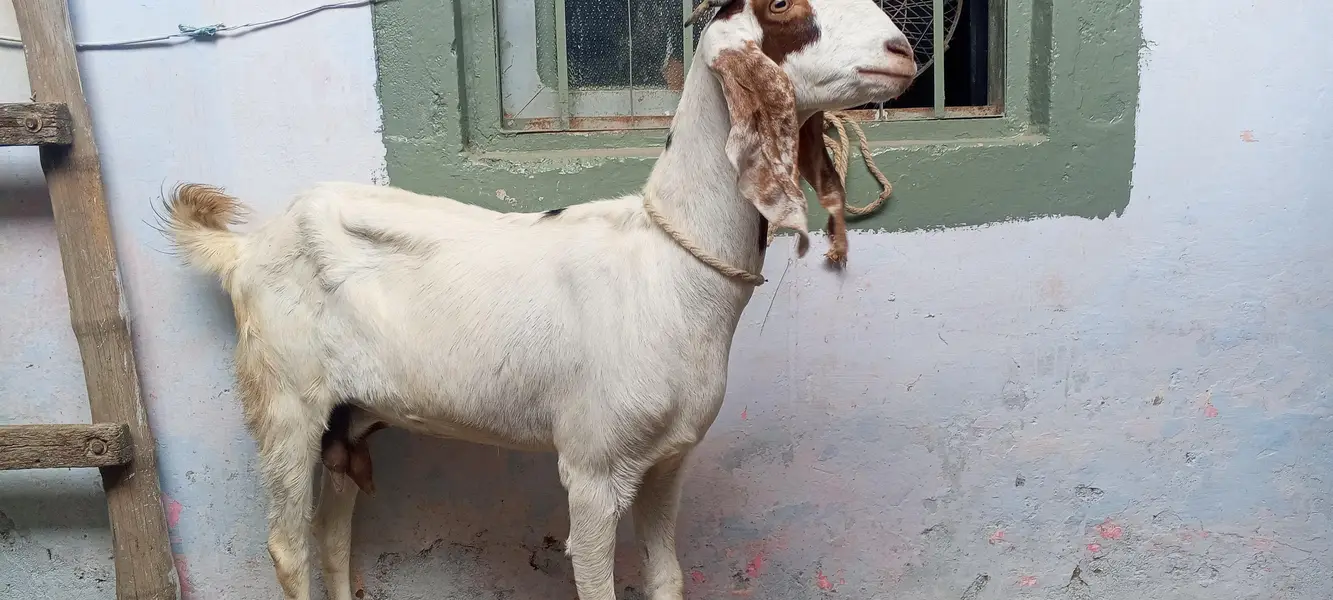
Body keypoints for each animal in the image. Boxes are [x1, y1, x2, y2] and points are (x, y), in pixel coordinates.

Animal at [162, 1, 915, 599]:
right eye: (781, 6)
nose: (901, 51)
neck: (665, 267)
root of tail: (244, 250)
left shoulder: (669, 460)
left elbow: (667, 576)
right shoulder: (592, 466)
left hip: (347, 419)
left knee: (331, 539)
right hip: (285, 401)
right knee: (289, 546)